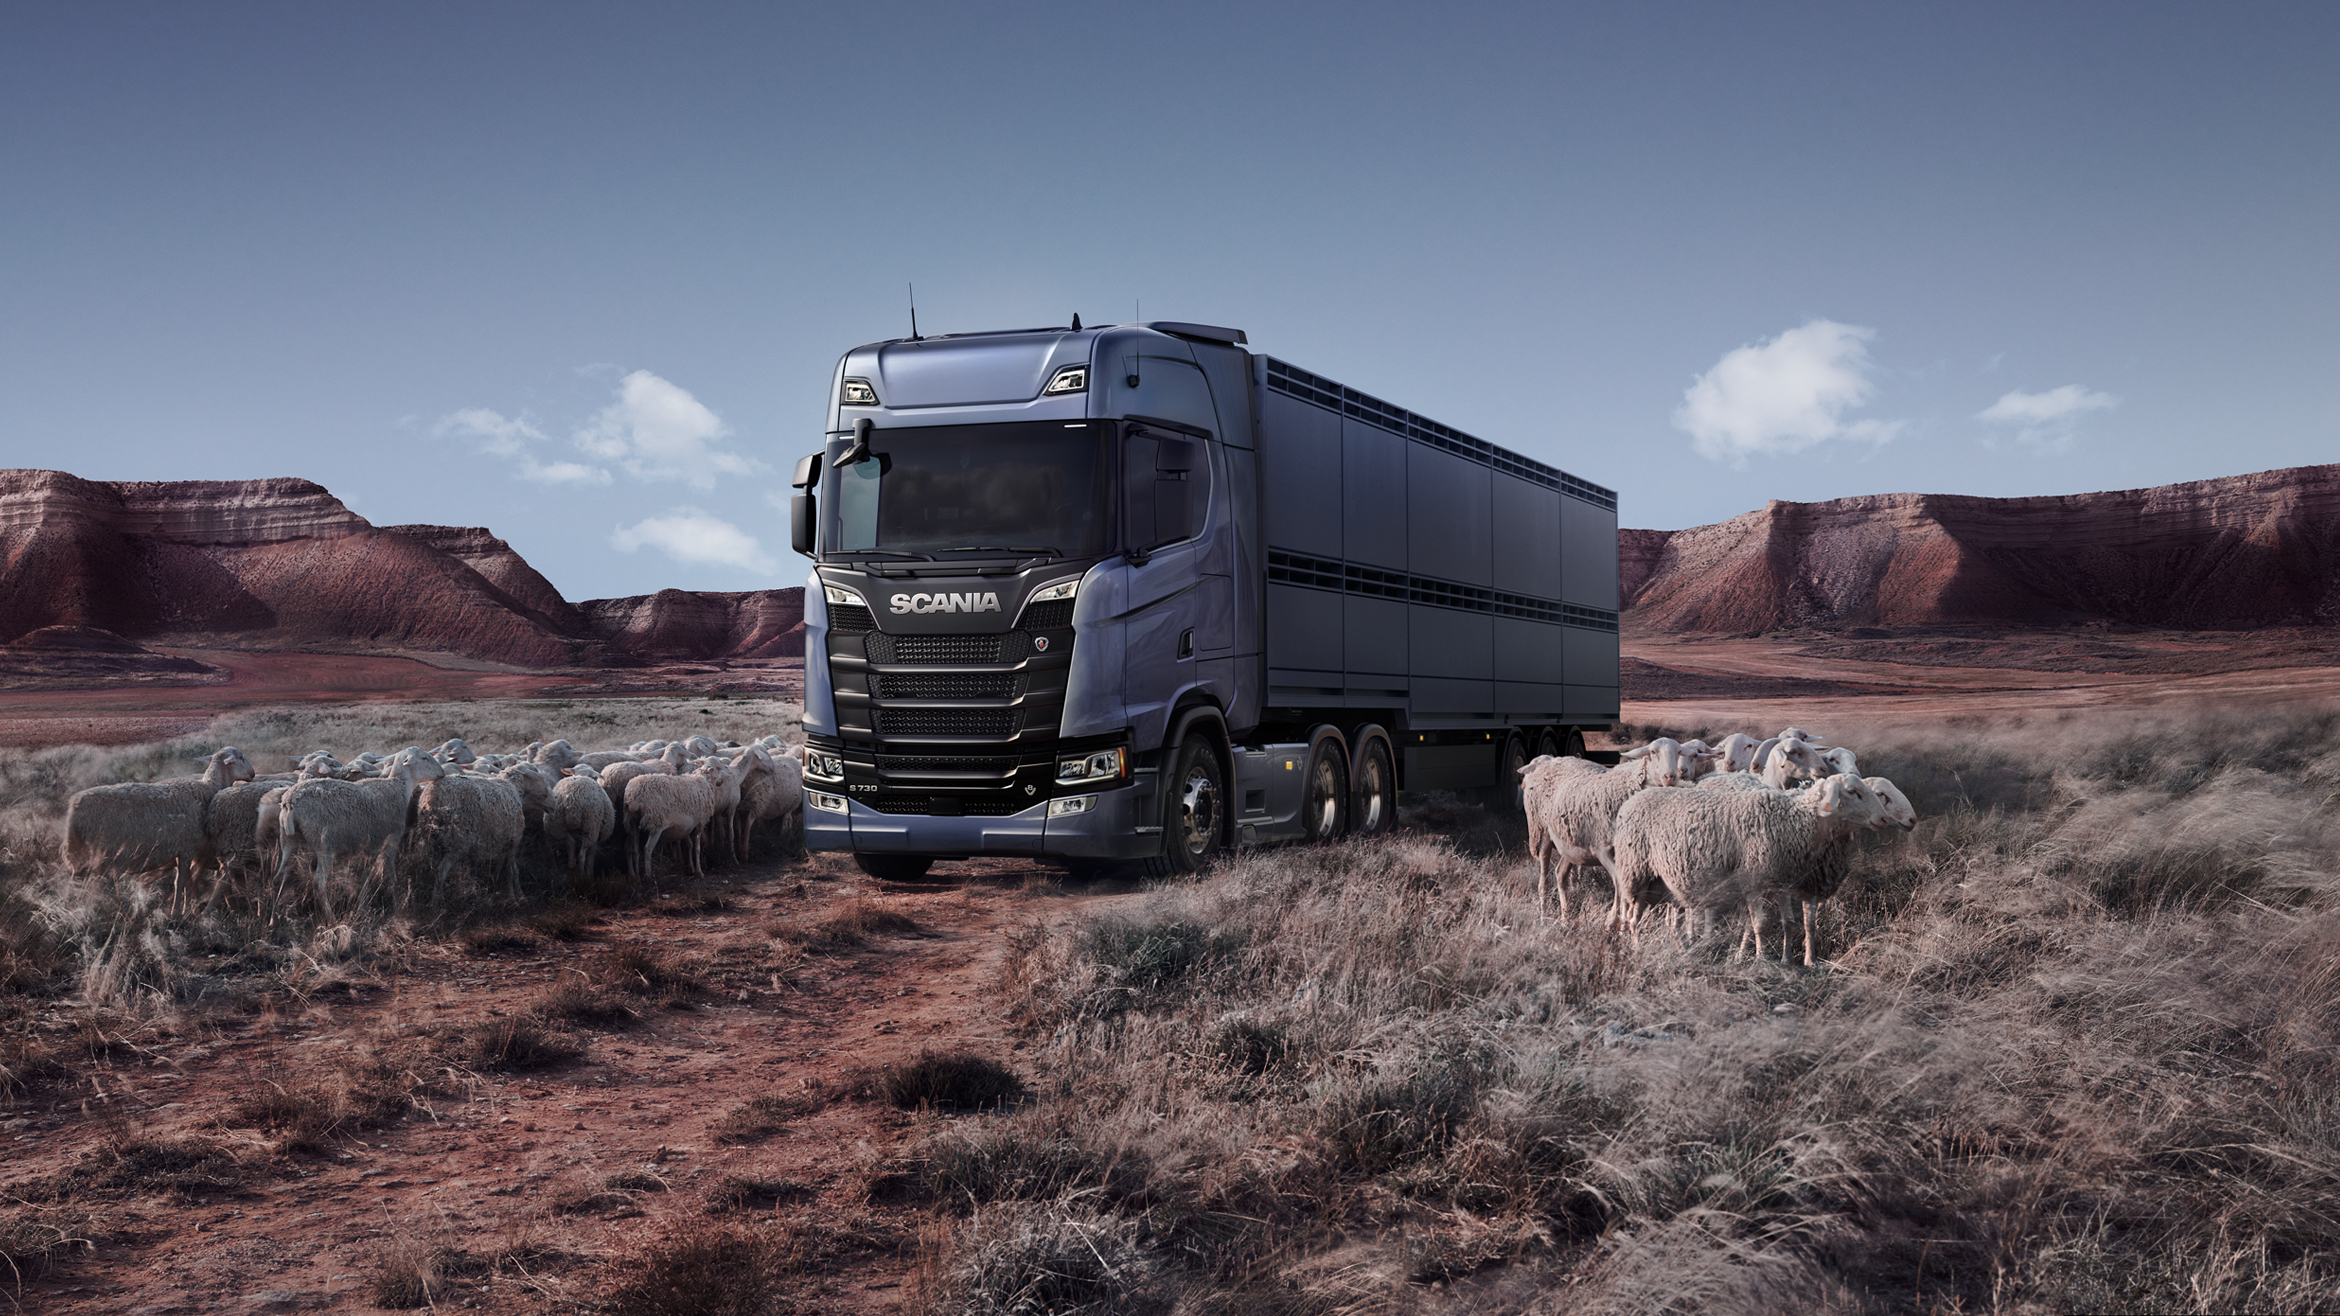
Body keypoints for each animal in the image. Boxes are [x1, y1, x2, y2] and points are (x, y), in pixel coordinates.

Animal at [63, 744, 256, 908]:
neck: (209, 788)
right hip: (99, 856)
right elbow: (181, 883)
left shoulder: (187, 852)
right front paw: (176, 913)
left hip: (82, 857)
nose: (253, 774)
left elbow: (188, 882)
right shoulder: (187, 850)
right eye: (241, 757)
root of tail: (74, 804)